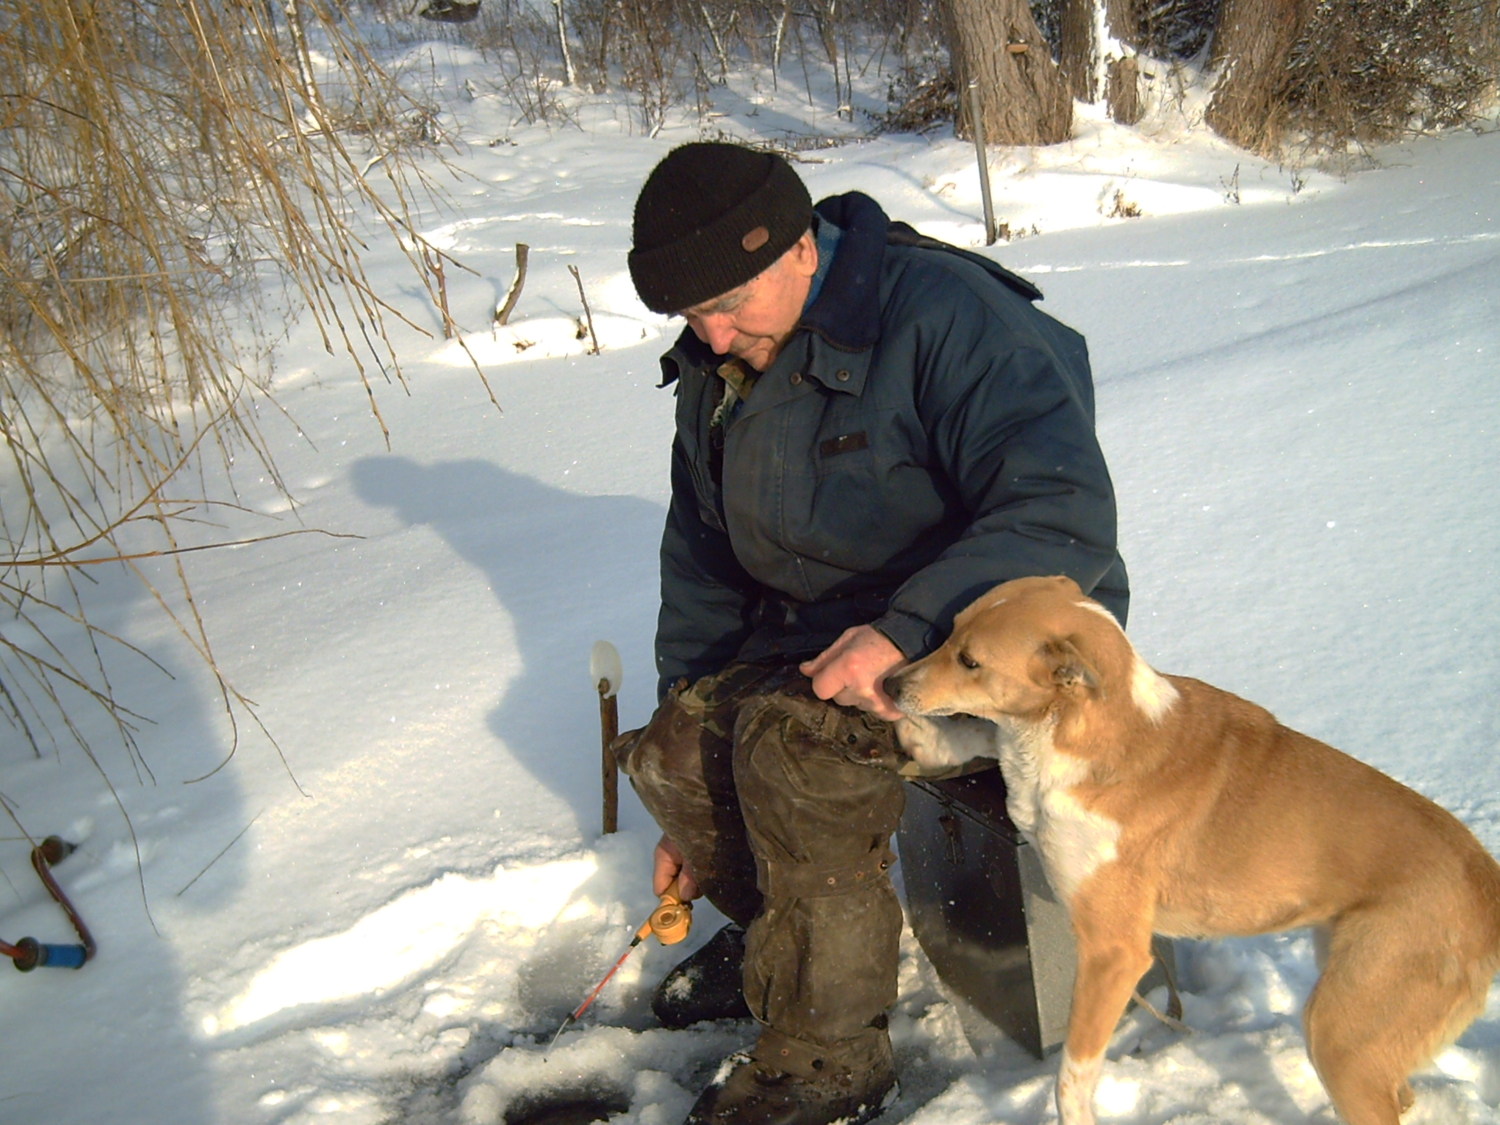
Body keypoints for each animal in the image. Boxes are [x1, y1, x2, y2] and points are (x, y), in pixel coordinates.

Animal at [882, 576, 1500, 1125]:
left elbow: (1071, 1079)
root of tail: (1484, 879)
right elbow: (988, 734)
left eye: (970, 662)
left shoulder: (1114, 951)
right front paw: (930, 739)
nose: (889, 685)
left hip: (1341, 1034)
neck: (1083, 735)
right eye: (950, 632)